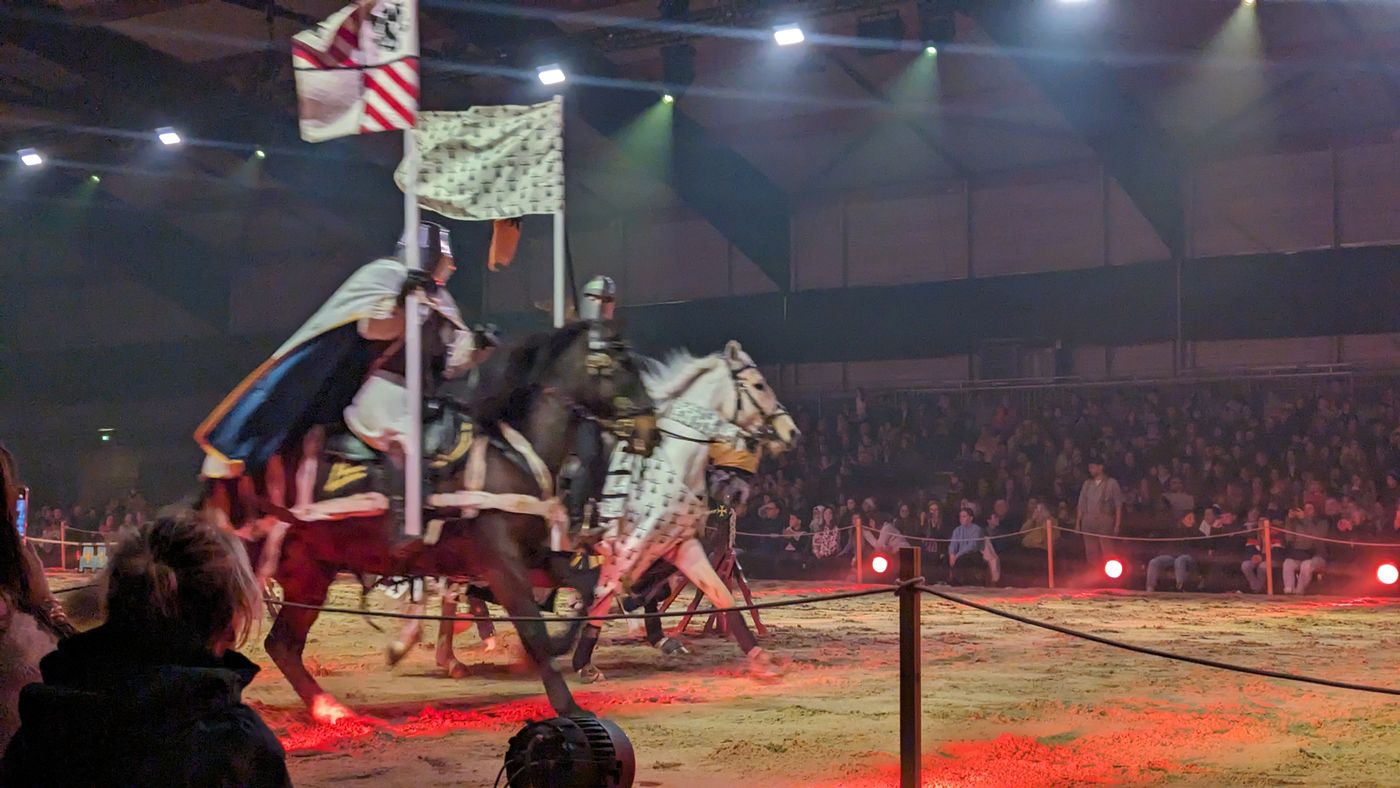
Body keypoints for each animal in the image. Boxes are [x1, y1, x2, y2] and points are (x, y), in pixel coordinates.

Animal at [204, 321, 658, 722]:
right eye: (618, 361)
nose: (649, 430)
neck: (513, 455)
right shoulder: (503, 567)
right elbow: (534, 632)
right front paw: (566, 704)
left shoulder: (538, 558)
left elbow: (589, 586)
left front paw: (566, 647)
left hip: (309, 574)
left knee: (282, 645)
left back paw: (331, 711)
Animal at [574, 342, 800, 680]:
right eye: (759, 385)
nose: (792, 431)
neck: (676, 458)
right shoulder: (630, 547)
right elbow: (608, 592)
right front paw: (583, 662)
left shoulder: (680, 545)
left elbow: (720, 593)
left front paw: (761, 658)